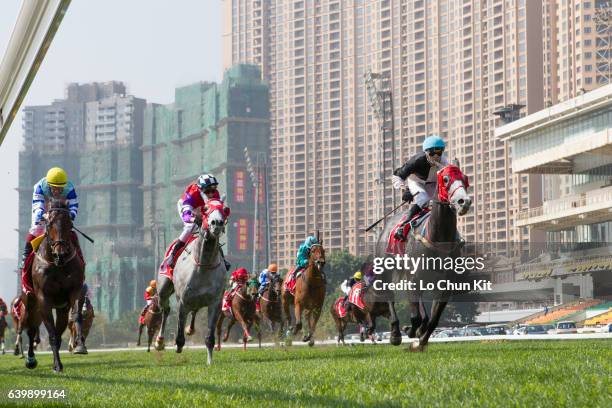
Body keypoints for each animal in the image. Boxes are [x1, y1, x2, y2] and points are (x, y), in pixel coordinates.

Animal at [24, 199, 86, 372]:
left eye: (69, 223)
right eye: (50, 223)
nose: (61, 254)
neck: (57, 265)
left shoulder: (75, 290)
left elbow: (76, 316)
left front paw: (80, 345)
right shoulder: (43, 298)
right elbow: (51, 333)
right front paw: (57, 365)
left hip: (61, 308)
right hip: (30, 302)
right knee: (31, 329)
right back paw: (30, 360)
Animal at [155, 204, 227, 364]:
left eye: (224, 209)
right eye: (206, 209)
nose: (217, 223)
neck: (203, 265)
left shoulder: (215, 302)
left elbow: (210, 337)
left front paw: (209, 361)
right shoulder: (183, 300)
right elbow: (179, 335)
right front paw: (177, 345)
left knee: (194, 310)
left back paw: (190, 329)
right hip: (163, 288)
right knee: (165, 310)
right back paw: (160, 341)